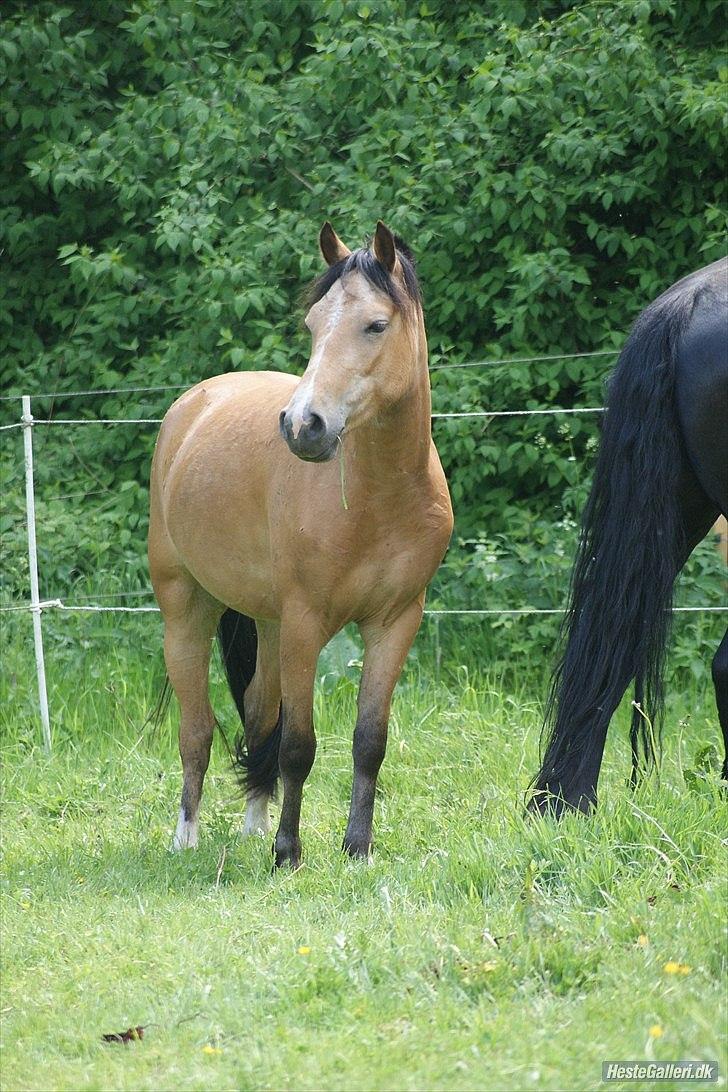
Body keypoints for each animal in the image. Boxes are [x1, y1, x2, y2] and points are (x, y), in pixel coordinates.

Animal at [148, 221, 451, 864]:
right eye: (313, 325)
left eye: (376, 325)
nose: (302, 426)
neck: (376, 499)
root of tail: (195, 403)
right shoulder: (306, 624)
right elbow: (297, 744)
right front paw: (288, 852)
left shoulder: (395, 622)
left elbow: (368, 740)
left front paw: (357, 847)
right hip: (187, 610)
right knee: (197, 729)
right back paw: (187, 836)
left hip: (267, 624)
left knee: (258, 712)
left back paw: (253, 825)